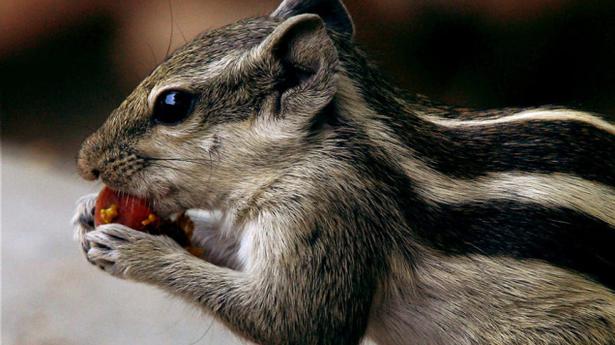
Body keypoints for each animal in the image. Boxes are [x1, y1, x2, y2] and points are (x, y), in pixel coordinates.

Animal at [73, 0, 615, 344]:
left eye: (172, 105)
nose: (85, 162)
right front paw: (85, 215)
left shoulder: (325, 210)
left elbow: (296, 321)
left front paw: (137, 251)